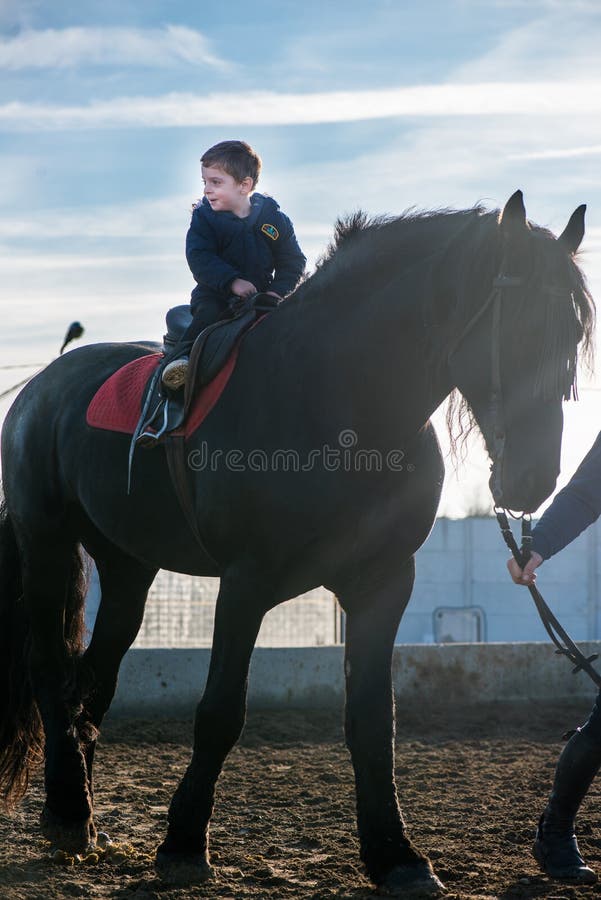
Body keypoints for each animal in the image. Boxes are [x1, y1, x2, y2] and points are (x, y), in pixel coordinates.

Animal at [0, 190, 594, 897]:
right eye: (522, 328)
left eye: (574, 337)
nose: (533, 480)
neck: (336, 398)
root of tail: (41, 387)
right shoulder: (245, 582)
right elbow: (221, 711)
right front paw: (183, 845)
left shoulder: (383, 585)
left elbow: (374, 720)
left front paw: (396, 856)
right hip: (46, 541)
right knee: (49, 670)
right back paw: (67, 814)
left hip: (128, 570)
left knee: (91, 681)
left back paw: (81, 818)